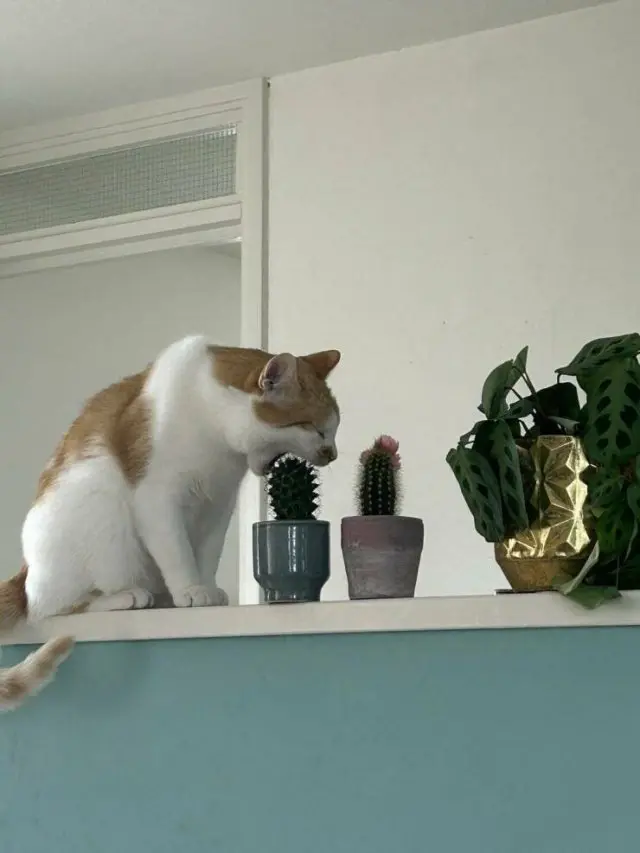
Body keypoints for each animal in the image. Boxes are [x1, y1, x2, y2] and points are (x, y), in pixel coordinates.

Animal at [0, 335, 341, 710]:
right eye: (316, 429)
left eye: (333, 430)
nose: (333, 454)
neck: (213, 429)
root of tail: (27, 570)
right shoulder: (157, 498)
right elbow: (177, 551)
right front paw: (190, 590)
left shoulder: (218, 506)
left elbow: (207, 554)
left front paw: (206, 589)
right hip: (98, 507)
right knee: (51, 609)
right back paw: (127, 597)